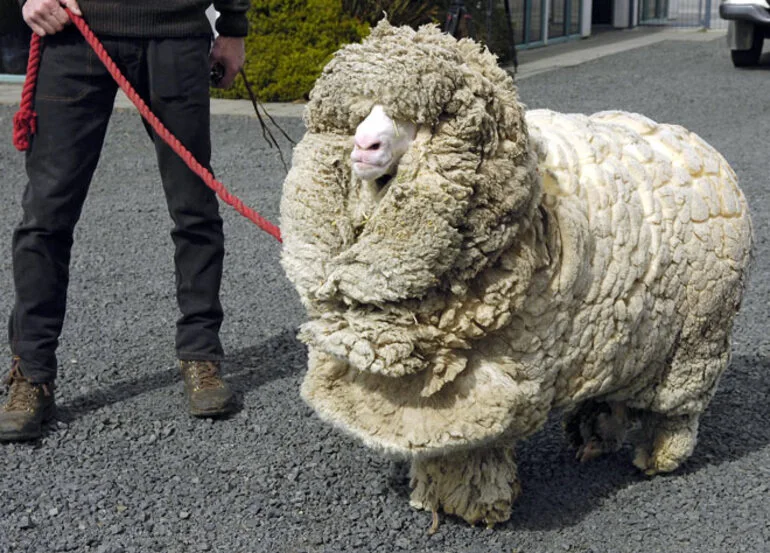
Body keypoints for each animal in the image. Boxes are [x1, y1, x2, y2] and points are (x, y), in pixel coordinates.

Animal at [279, 20, 753, 530]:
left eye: (415, 119)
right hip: (632, 332)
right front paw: (436, 494)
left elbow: (476, 444)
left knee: (678, 408)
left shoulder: (498, 375)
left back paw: (661, 453)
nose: (363, 147)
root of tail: (702, 147)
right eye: (360, 115)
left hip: (696, 340)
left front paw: (473, 503)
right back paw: (595, 432)